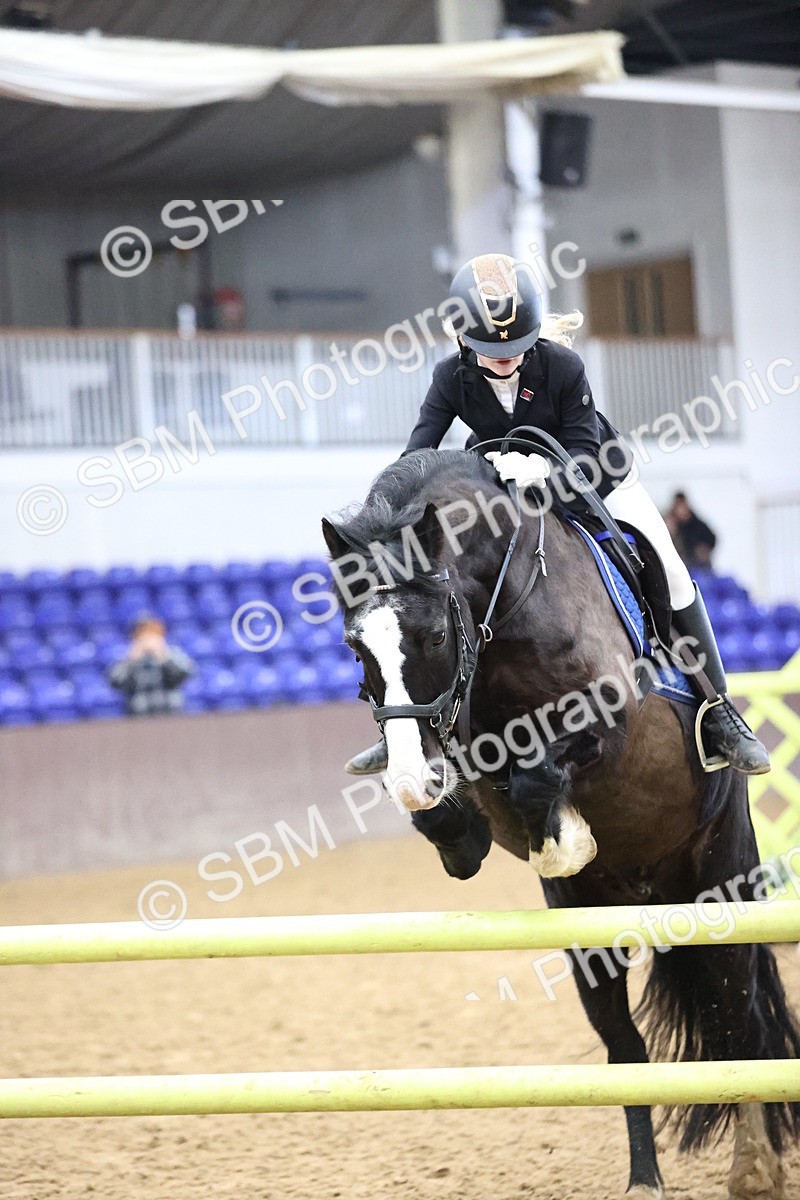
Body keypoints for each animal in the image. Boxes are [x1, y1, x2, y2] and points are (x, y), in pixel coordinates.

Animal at [322, 447, 800, 1200]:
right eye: (355, 646)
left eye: (433, 634)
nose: (406, 779)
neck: (510, 604)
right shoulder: (466, 744)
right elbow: (479, 795)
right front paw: (461, 834)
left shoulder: (607, 723)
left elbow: (540, 775)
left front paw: (561, 838)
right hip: (590, 937)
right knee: (626, 1048)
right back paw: (644, 1181)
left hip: (718, 884)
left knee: (738, 1018)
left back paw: (755, 1170)